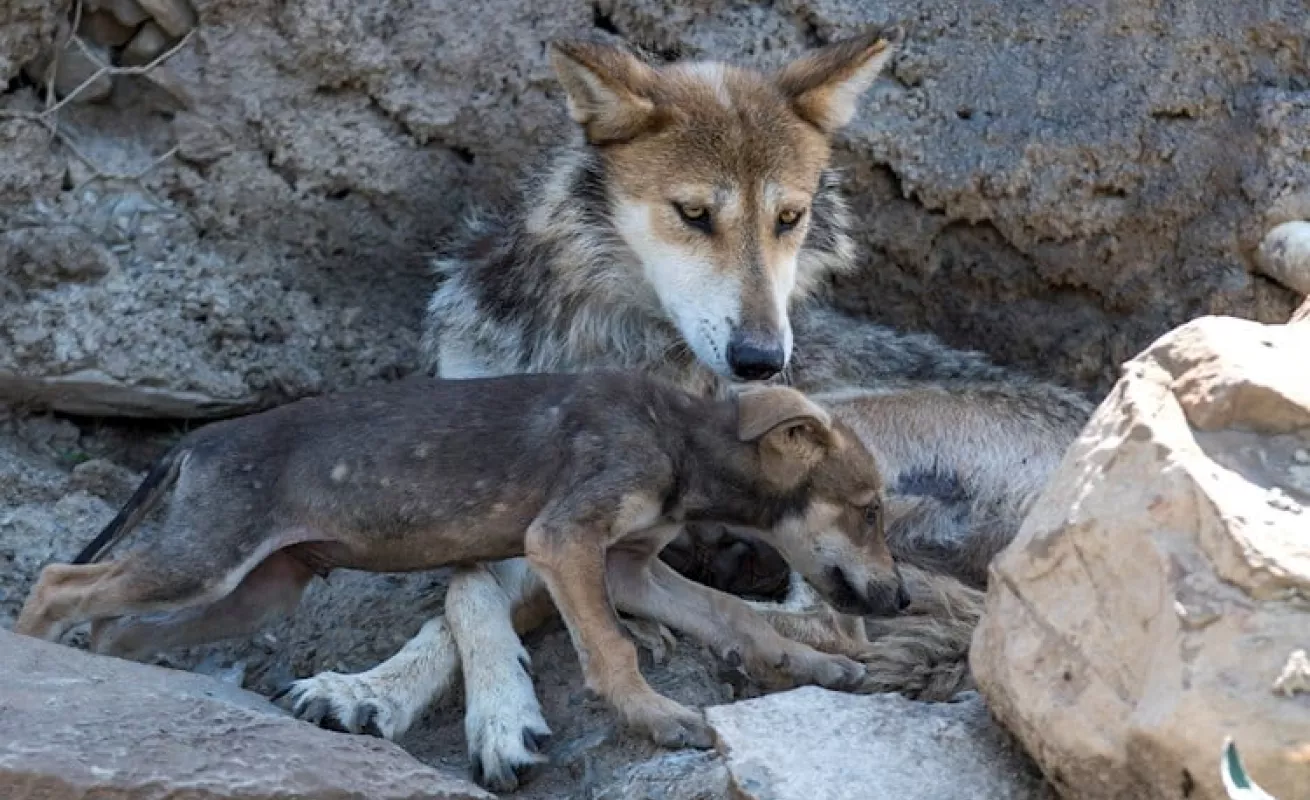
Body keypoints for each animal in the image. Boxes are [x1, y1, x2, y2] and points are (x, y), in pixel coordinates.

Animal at [280, 26, 1095, 791]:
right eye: (695, 213)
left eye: (789, 218)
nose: (763, 360)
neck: (591, 333)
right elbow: (464, 594)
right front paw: (377, 690)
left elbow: (484, 598)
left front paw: (493, 713)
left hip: (839, 432)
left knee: (836, 623)